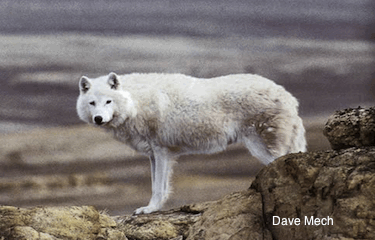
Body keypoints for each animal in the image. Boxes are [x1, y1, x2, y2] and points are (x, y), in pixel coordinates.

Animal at [77, 72, 308, 215]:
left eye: (108, 101)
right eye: (92, 103)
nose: (98, 118)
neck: (136, 102)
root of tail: (289, 96)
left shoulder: (161, 152)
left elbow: (158, 188)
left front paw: (150, 209)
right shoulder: (154, 155)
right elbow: (157, 185)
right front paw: (152, 209)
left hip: (262, 149)